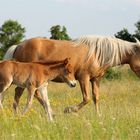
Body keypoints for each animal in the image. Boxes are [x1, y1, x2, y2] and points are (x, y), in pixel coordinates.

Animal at [3, 36, 140, 115]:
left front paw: (98, 116)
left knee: (23, 93)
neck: (97, 53)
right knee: (24, 93)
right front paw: (69, 110)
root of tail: (18, 45)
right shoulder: (83, 78)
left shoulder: (96, 79)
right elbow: (86, 98)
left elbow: (96, 98)